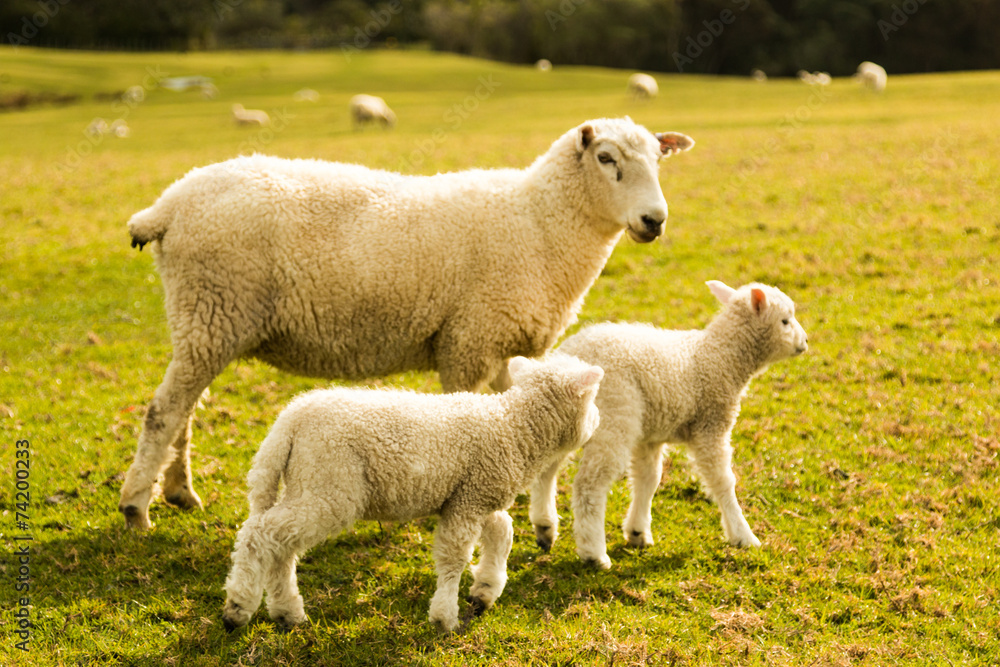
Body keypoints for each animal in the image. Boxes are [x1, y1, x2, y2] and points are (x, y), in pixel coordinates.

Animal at [118, 117, 694, 530]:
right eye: (606, 158)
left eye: (659, 161)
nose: (655, 220)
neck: (540, 222)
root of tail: (168, 204)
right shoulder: (468, 340)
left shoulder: (508, 344)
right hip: (214, 308)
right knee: (163, 412)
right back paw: (136, 508)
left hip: (205, 321)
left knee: (184, 409)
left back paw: (179, 492)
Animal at [222, 355, 604, 633]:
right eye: (592, 399)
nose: (599, 419)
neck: (513, 427)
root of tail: (288, 421)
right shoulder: (470, 500)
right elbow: (454, 557)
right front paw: (445, 617)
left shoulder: (472, 495)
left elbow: (502, 531)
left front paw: (485, 590)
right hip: (330, 486)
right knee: (260, 535)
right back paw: (237, 608)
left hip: (305, 482)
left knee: (280, 548)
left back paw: (287, 612)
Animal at [529, 281, 808, 569]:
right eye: (785, 321)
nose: (805, 342)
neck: (720, 356)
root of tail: (570, 360)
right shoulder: (710, 426)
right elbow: (722, 481)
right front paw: (743, 535)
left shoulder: (651, 437)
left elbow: (648, 479)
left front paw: (638, 531)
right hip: (615, 415)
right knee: (589, 485)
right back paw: (593, 553)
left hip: (566, 418)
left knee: (546, 470)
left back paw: (544, 527)